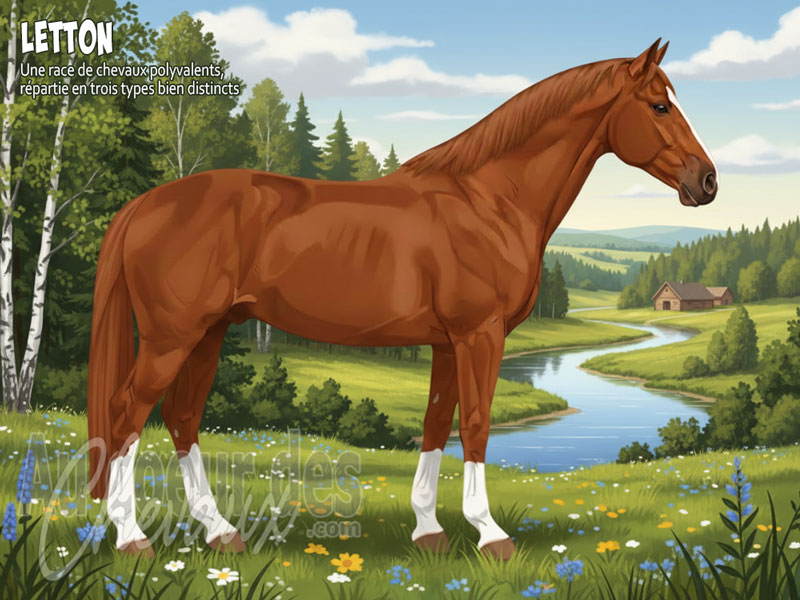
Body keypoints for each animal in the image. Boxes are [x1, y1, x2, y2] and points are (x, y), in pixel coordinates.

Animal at [87, 39, 717, 560]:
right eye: (659, 106)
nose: (706, 182)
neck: (489, 201)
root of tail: (143, 206)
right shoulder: (480, 334)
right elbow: (478, 425)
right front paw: (490, 535)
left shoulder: (447, 342)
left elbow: (438, 423)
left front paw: (429, 530)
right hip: (172, 337)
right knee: (126, 413)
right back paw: (132, 539)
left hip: (209, 333)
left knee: (182, 418)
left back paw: (220, 532)